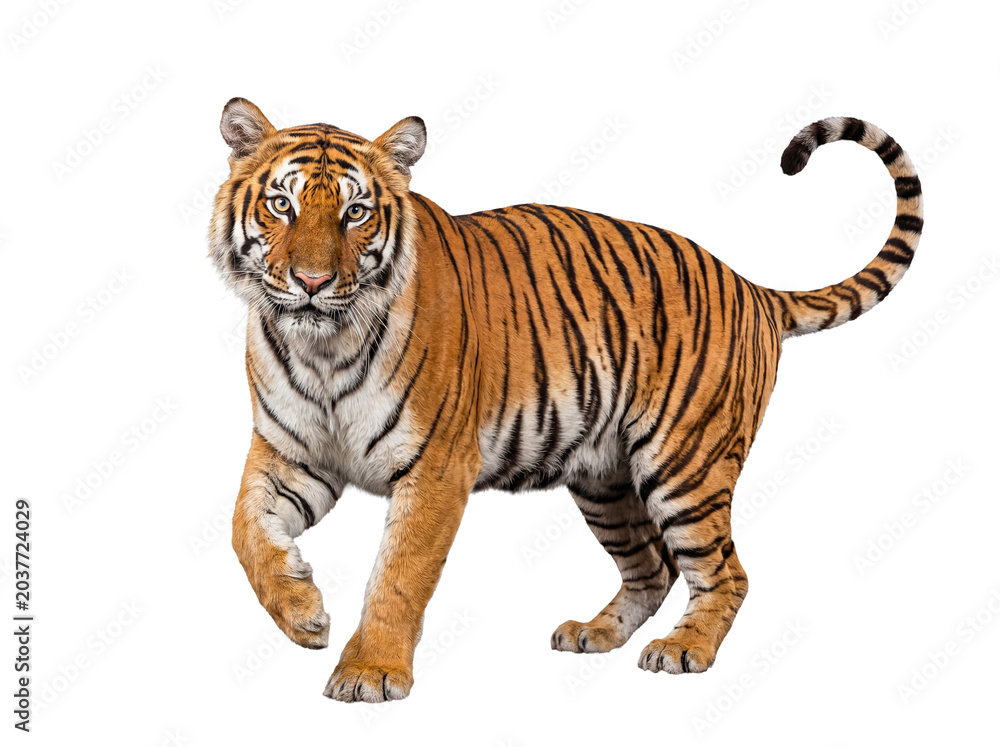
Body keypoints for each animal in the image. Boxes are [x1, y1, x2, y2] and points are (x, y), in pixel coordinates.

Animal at [209, 97, 922, 703]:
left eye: (355, 212)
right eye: (281, 204)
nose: (312, 281)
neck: (321, 349)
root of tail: (750, 285)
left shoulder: (436, 466)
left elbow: (399, 574)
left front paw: (369, 671)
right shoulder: (290, 454)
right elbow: (245, 534)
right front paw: (302, 612)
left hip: (684, 465)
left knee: (726, 571)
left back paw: (685, 649)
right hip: (605, 480)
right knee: (652, 567)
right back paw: (595, 633)